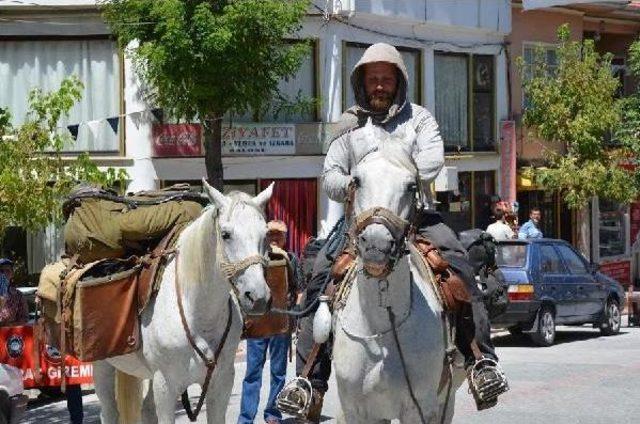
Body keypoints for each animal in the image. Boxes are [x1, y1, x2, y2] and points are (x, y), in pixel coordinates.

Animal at [330, 150, 464, 424]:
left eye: (411, 186)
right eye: (356, 180)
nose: (376, 244)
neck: (381, 326)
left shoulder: (418, 408)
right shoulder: (356, 410)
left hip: (446, 401)